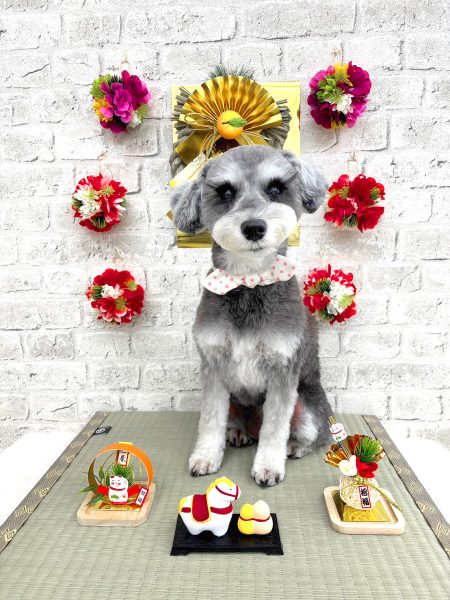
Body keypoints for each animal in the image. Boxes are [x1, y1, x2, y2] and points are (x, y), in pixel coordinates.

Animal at [171, 145, 331, 487]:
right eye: (226, 192)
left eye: (276, 189)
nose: (254, 227)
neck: (249, 281)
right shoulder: (213, 367)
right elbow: (211, 420)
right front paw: (206, 457)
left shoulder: (283, 370)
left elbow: (275, 426)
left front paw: (268, 467)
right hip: (235, 400)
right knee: (235, 422)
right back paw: (237, 433)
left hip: (308, 405)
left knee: (314, 436)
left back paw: (294, 447)